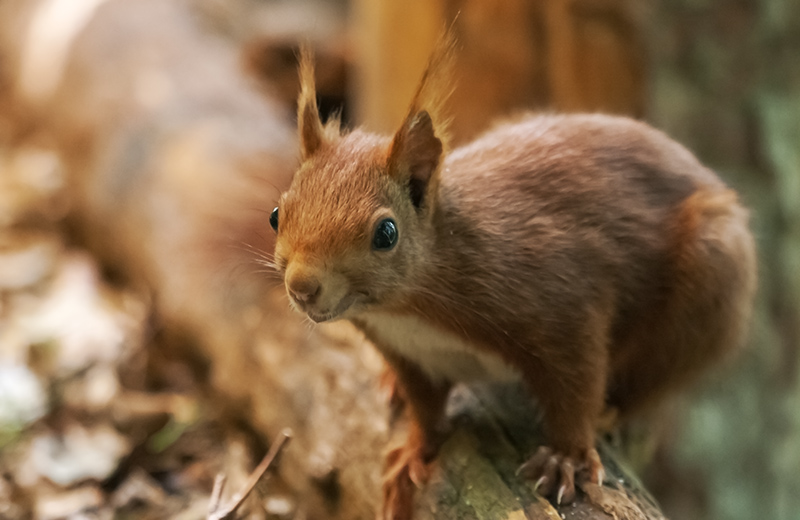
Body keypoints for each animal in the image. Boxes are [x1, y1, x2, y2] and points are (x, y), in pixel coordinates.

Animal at [268, 39, 756, 516]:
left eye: (386, 233)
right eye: (276, 214)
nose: (302, 287)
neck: (407, 314)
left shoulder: (560, 299)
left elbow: (577, 385)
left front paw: (566, 458)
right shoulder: (408, 354)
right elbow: (426, 409)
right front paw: (412, 453)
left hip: (711, 283)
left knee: (656, 377)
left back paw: (613, 413)